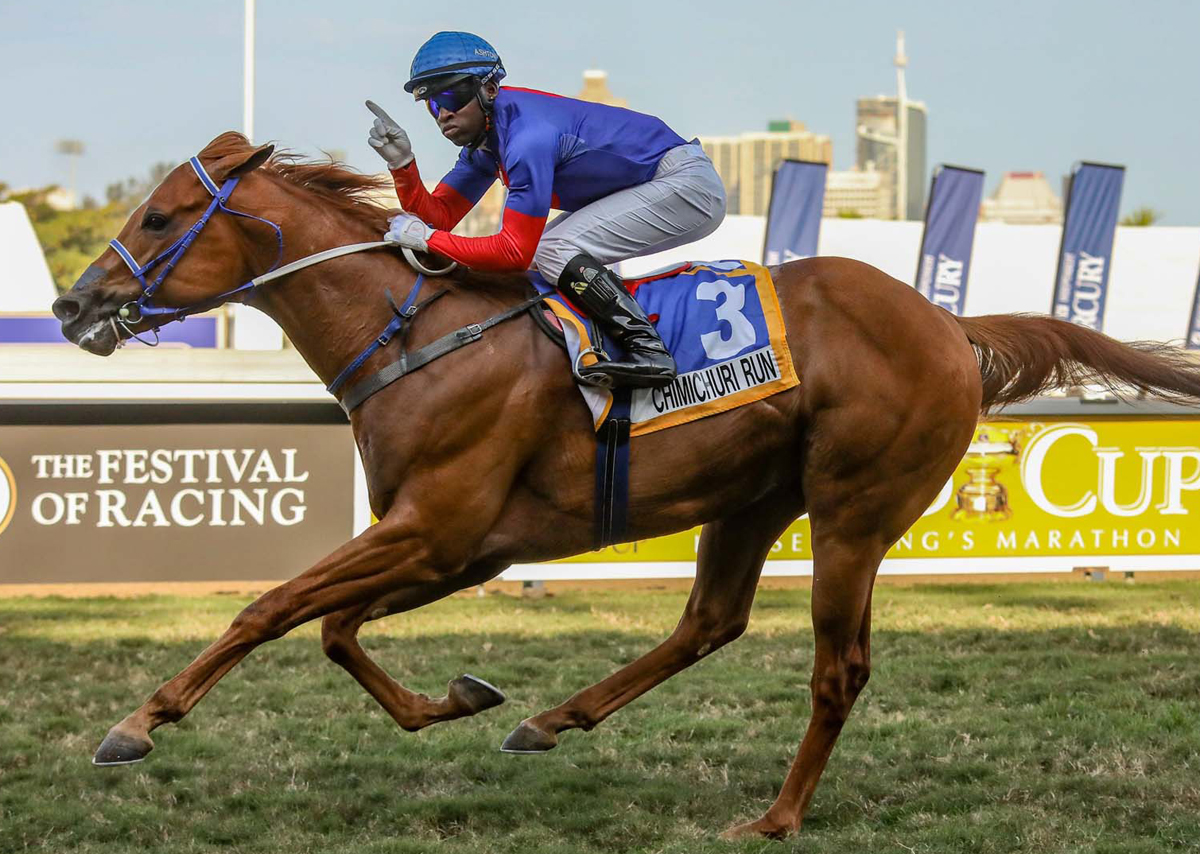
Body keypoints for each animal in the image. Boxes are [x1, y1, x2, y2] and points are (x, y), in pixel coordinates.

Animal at [52, 132, 1200, 840]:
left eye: (160, 218)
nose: (71, 304)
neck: (418, 332)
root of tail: (951, 325)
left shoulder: (438, 530)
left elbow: (271, 606)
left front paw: (138, 723)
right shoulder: (458, 544)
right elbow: (332, 629)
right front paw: (459, 698)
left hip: (853, 511)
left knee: (838, 668)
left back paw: (777, 816)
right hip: (750, 499)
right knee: (709, 622)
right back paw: (552, 718)